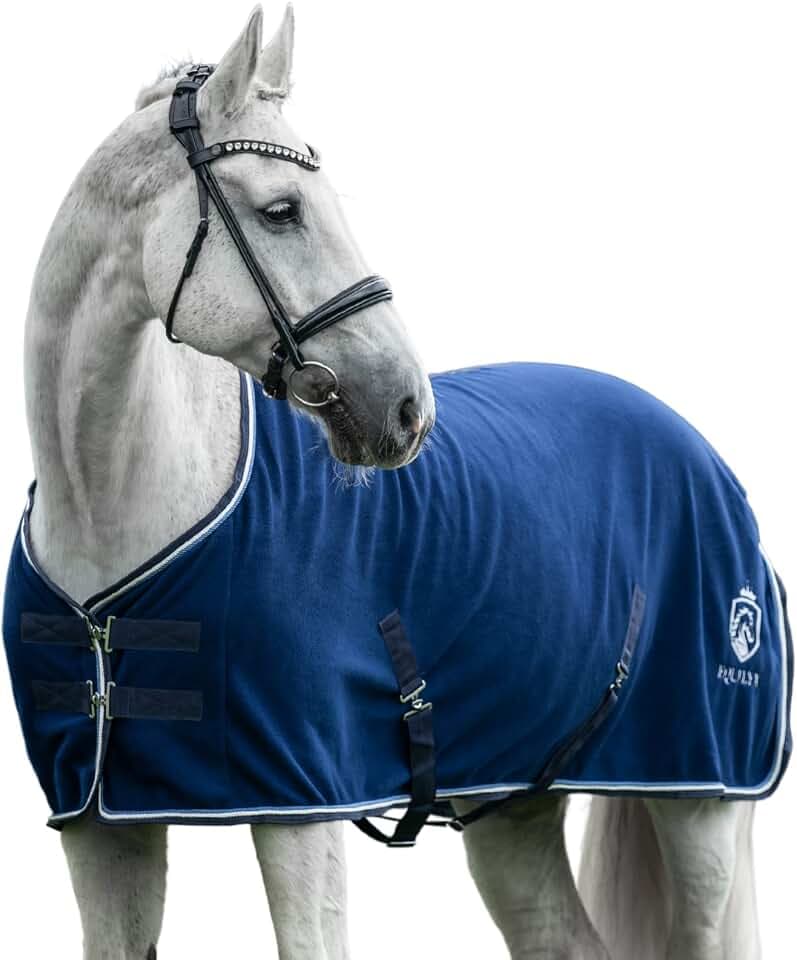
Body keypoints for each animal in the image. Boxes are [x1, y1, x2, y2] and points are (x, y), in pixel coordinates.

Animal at [3, 7, 790, 959]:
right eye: (280, 210)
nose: (406, 409)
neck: (117, 514)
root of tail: (710, 464)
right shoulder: (97, 824)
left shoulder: (299, 810)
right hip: (512, 805)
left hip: (701, 800)